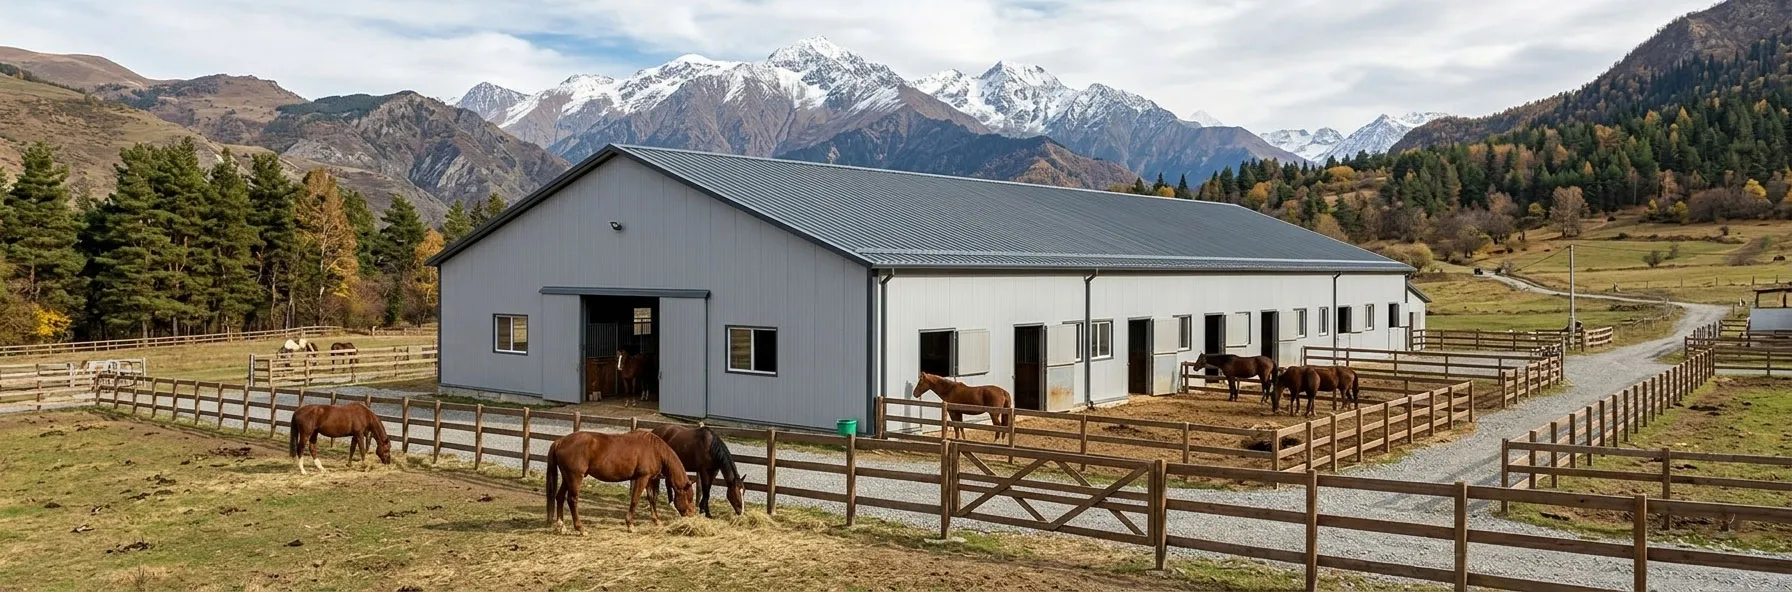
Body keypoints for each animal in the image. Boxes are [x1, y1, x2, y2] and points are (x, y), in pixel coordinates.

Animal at [545, 430, 696, 534]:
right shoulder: (642, 478)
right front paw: (630, 525)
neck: (655, 450)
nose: (692, 515)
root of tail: (560, 441)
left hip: (567, 478)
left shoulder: (649, 479)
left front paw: (656, 520)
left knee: (559, 497)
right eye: (689, 498)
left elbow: (652, 499)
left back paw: (561, 526)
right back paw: (580, 528)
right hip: (575, 478)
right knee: (572, 500)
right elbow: (635, 500)